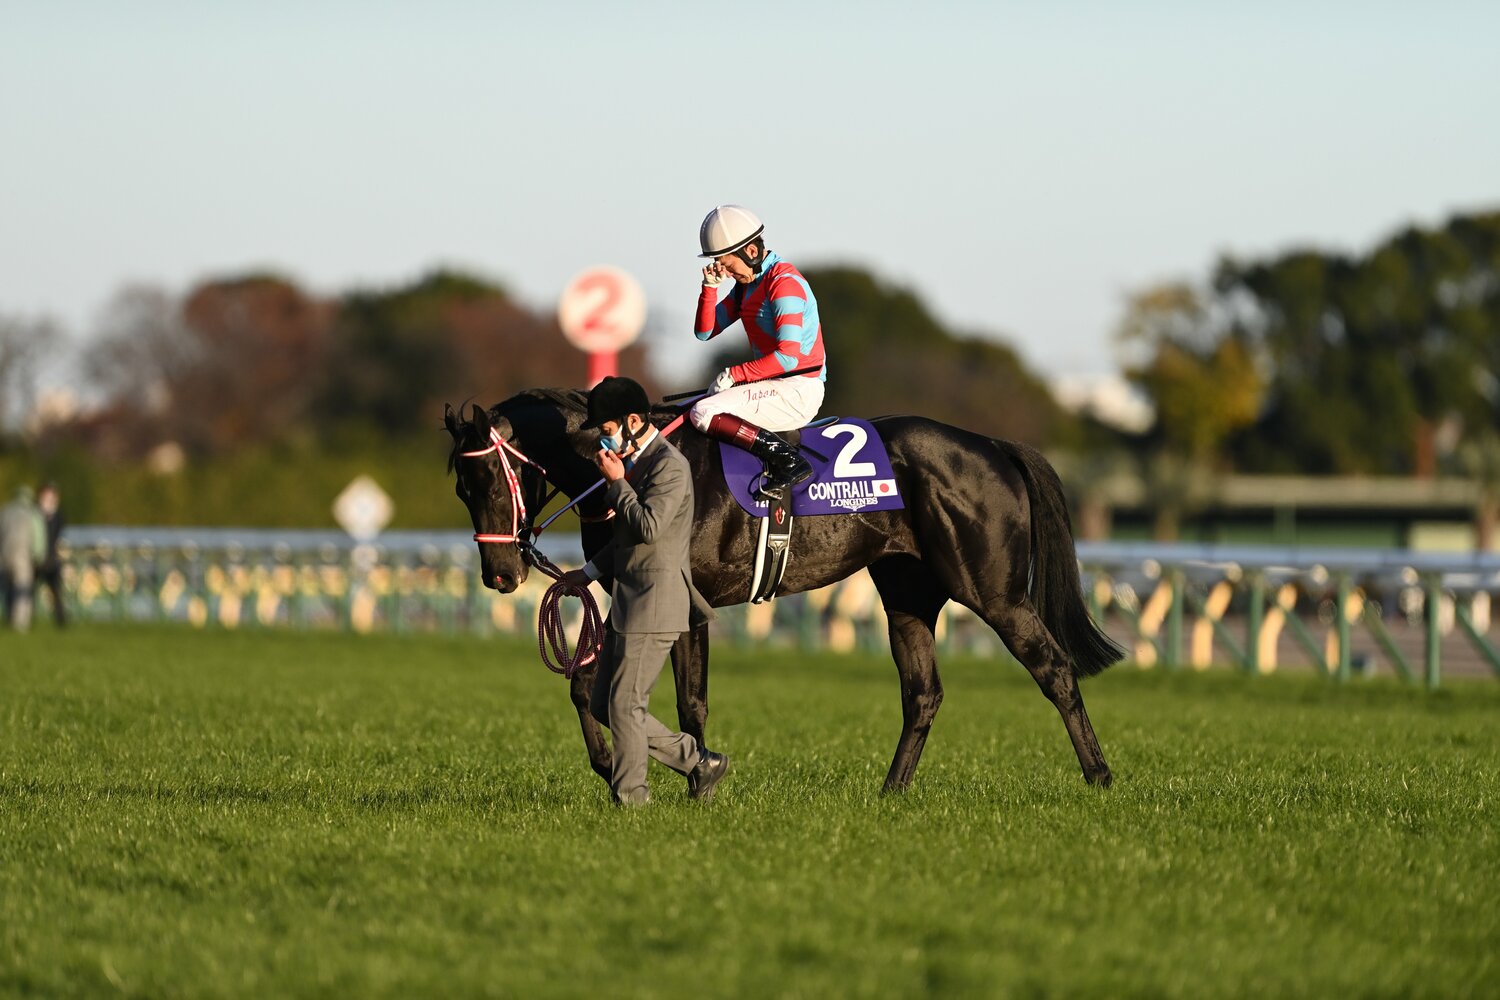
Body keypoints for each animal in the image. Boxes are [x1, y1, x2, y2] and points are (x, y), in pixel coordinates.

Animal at [444, 389, 1123, 793]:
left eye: (489, 479)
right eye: (460, 487)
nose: (500, 574)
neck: (633, 468)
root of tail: (994, 446)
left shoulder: (685, 603)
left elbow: (691, 701)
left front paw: (699, 778)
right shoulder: (634, 593)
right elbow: (588, 684)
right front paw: (611, 765)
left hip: (992, 590)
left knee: (1054, 668)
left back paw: (1099, 775)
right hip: (906, 592)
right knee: (922, 693)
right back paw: (891, 791)